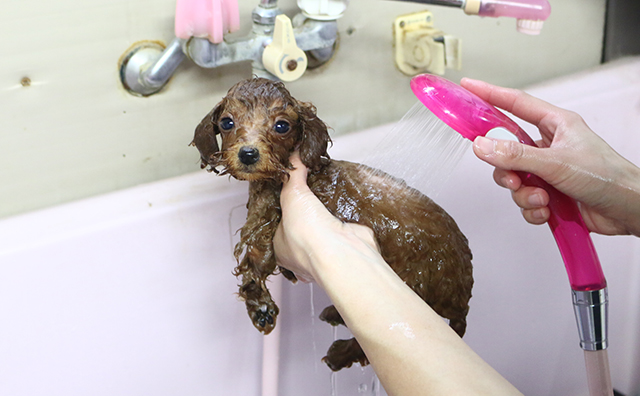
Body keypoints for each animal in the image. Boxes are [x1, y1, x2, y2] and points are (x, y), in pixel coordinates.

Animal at [190, 77, 470, 372]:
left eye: (282, 126)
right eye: (227, 122)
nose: (248, 154)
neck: (279, 178)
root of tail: (463, 297)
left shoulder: (264, 225)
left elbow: (255, 263)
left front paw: (261, 308)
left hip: (411, 288)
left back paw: (339, 355)